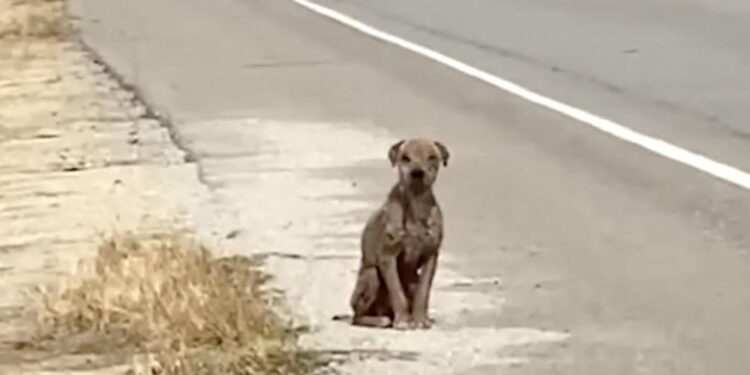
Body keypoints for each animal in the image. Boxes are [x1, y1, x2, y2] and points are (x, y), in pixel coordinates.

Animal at [350, 140, 450, 330]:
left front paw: (421, 319)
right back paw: (380, 320)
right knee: (357, 316)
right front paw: (403, 320)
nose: (417, 173)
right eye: (405, 158)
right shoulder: (388, 257)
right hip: (371, 275)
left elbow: (423, 292)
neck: (416, 206)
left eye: (432, 157)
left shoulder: (431, 256)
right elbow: (397, 292)